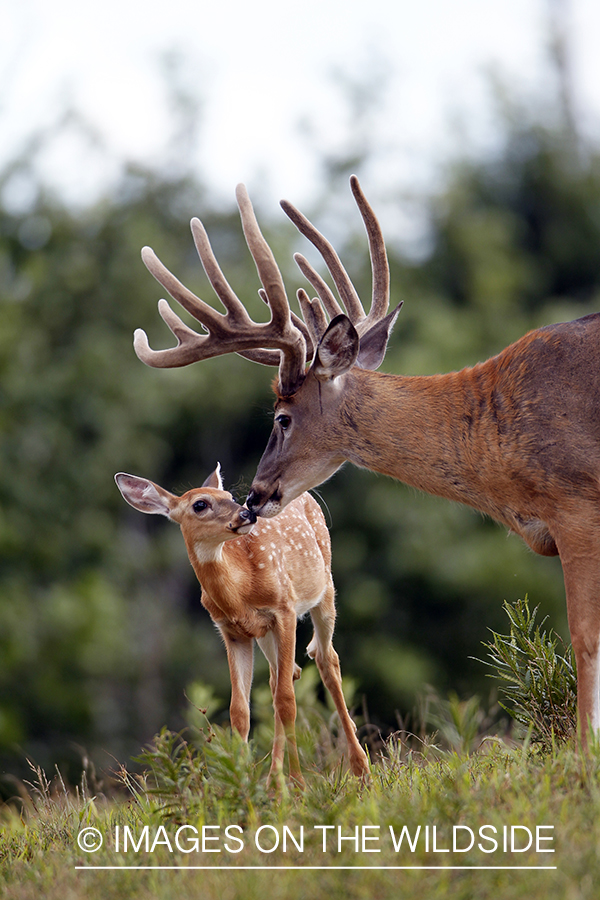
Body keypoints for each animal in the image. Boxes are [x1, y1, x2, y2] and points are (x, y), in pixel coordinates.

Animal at [112, 468, 366, 784]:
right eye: (200, 504)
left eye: (229, 496)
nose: (247, 513)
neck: (241, 590)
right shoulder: (232, 632)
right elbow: (240, 711)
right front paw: (243, 781)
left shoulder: (284, 608)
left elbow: (287, 702)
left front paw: (297, 782)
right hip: (266, 634)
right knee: (282, 676)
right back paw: (274, 779)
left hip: (325, 587)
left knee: (325, 659)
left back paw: (360, 767)